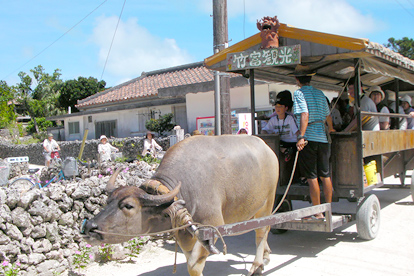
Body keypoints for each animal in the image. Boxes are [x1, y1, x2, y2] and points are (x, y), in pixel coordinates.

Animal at [81, 135, 278, 274]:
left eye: (128, 206)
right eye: (108, 201)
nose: (89, 227)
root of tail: (267, 148)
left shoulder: (212, 227)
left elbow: (193, 266)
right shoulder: (184, 232)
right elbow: (190, 261)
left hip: (268, 201)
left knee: (262, 230)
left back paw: (257, 265)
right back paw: (266, 255)